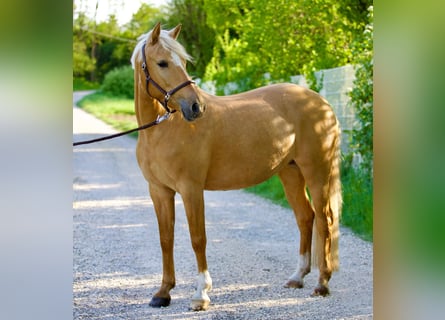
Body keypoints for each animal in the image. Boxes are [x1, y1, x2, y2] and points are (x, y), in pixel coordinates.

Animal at [130, 21, 342, 310]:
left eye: (182, 62)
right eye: (162, 63)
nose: (196, 107)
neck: (163, 129)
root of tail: (322, 102)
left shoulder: (191, 189)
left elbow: (198, 239)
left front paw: (201, 295)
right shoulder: (159, 191)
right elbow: (166, 239)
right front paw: (163, 293)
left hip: (317, 172)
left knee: (324, 220)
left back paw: (322, 283)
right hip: (290, 172)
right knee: (305, 217)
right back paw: (297, 277)